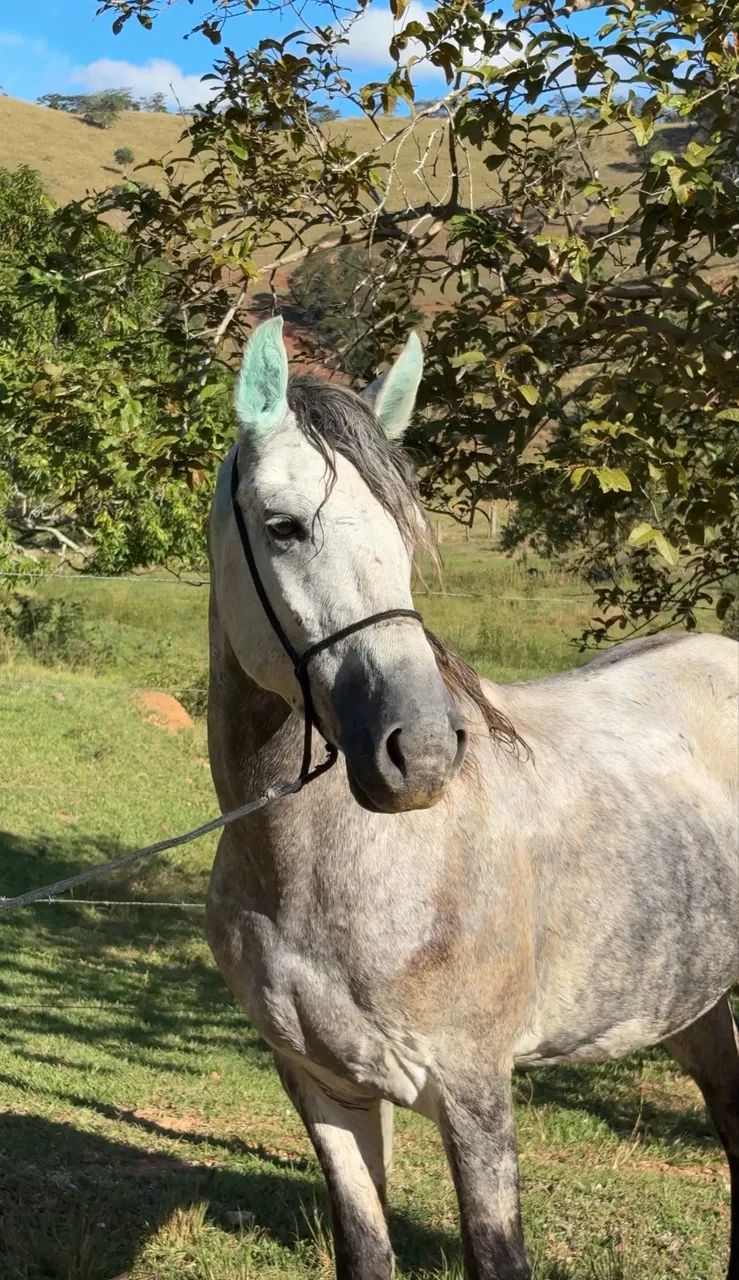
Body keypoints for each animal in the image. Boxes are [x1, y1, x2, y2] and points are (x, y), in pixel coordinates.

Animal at [205, 316, 739, 1280]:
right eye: (284, 526)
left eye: (405, 534)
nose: (418, 752)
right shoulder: (324, 1091)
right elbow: (364, 1249)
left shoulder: (473, 1094)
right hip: (694, 1003)